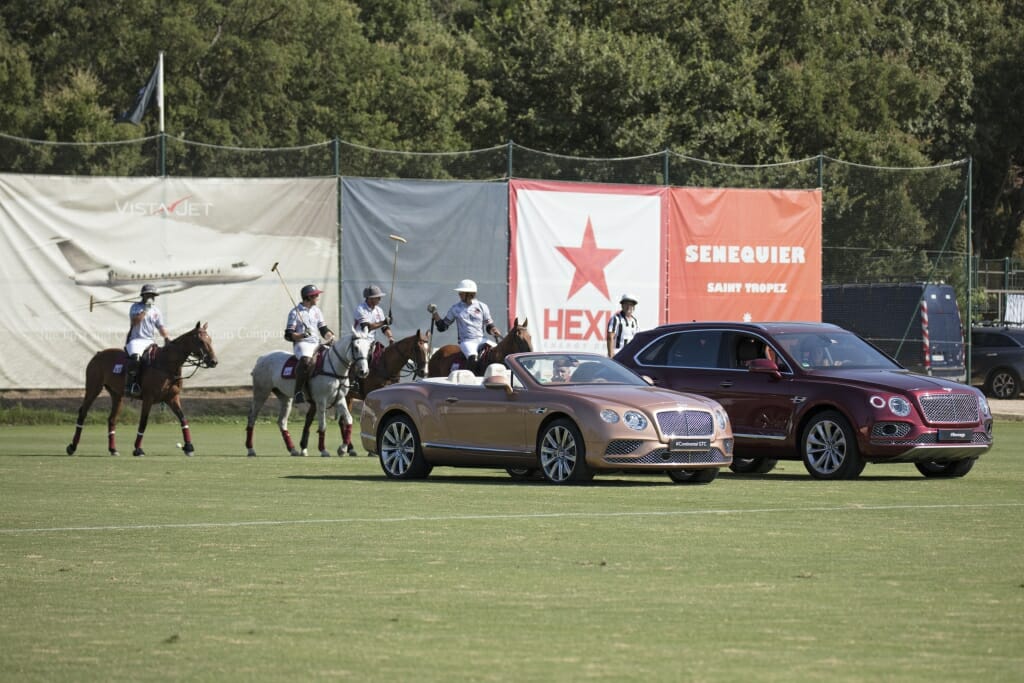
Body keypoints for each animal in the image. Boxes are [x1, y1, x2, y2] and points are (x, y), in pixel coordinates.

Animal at [66, 321, 218, 458]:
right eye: (200, 341)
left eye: (210, 339)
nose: (214, 361)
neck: (166, 365)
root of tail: (98, 354)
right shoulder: (148, 398)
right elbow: (143, 422)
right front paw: (138, 449)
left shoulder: (172, 398)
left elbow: (183, 419)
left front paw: (189, 447)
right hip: (93, 388)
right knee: (82, 413)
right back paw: (72, 447)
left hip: (117, 395)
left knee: (112, 419)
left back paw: (113, 449)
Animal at [243, 327, 372, 456]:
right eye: (356, 347)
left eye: (368, 348)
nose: (364, 371)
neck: (334, 369)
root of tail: (261, 358)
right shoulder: (321, 400)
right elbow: (323, 425)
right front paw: (323, 450)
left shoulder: (340, 399)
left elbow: (349, 420)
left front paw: (343, 449)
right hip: (261, 392)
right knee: (252, 417)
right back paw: (250, 449)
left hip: (285, 397)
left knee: (282, 421)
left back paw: (293, 449)